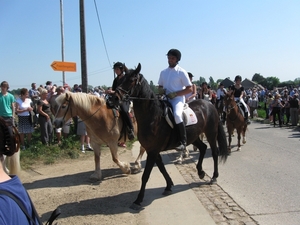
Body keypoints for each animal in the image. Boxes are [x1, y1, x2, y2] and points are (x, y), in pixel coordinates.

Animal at [115, 63, 227, 209]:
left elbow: (146, 175)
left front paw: (138, 200)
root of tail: (209, 104)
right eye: (122, 79)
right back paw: (201, 172)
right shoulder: (153, 150)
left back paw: (214, 177)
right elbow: (162, 168)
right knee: (202, 148)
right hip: (193, 137)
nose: (115, 97)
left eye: (132, 80)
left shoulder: (152, 151)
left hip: (211, 134)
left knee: (214, 152)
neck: (152, 116)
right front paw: (168, 186)